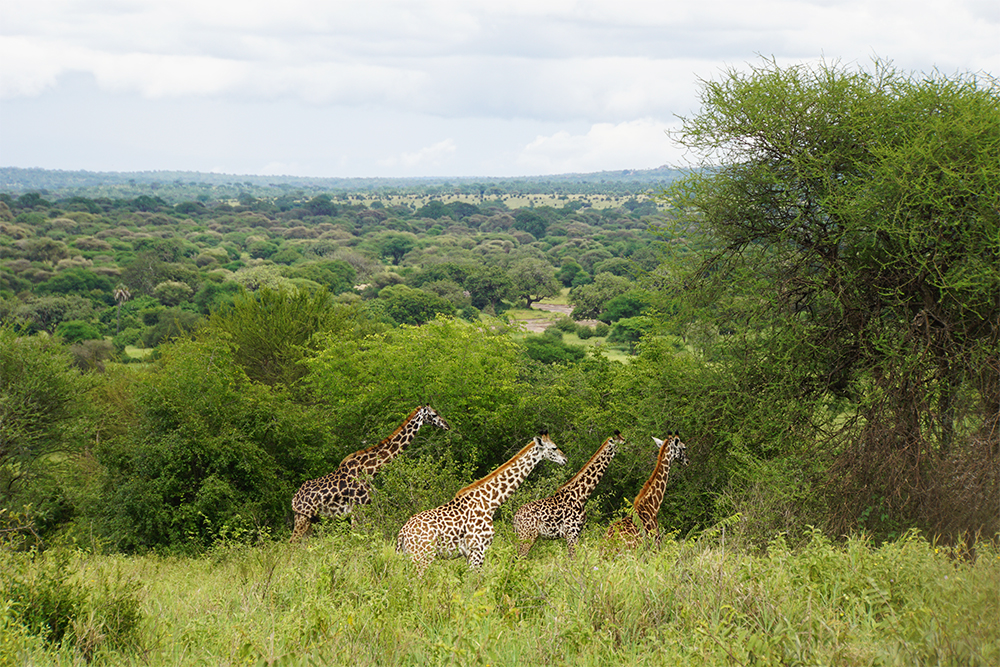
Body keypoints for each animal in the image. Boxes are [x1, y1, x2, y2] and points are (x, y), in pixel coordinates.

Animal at [288, 408, 448, 544]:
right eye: (434, 414)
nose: (447, 425)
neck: (369, 470)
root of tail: (294, 499)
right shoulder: (359, 507)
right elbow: (357, 536)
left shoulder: (361, 508)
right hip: (303, 517)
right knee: (292, 543)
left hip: (311, 519)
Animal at [398, 434, 572, 576]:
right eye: (554, 447)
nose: (565, 459)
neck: (490, 501)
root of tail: (403, 533)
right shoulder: (478, 549)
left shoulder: (470, 553)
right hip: (422, 557)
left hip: (410, 556)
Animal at [516, 428, 624, 560]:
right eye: (620, 442)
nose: (626, 443)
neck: (581, 495)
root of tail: (515, 518)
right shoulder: (571, 533)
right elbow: (574, 558)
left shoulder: (576, 533)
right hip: (527, 536)